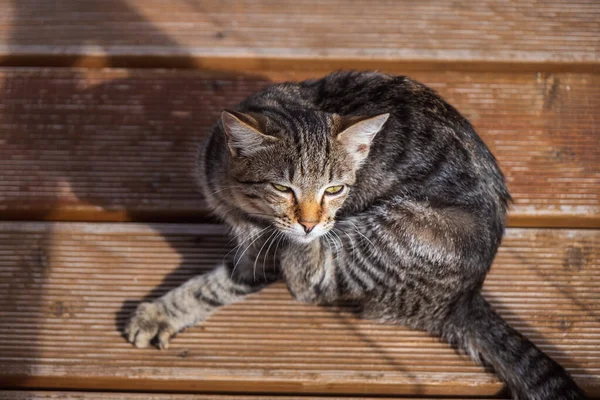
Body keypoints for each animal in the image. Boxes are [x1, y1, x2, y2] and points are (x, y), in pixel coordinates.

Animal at [126, 70, 584, 398]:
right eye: (283, 188)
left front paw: (160, 313)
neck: (235, 197)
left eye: (335, 189)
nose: (310, 222)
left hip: (398, 228)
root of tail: (464, 298)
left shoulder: (262, 256)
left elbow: (212, 287)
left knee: (311, 281)